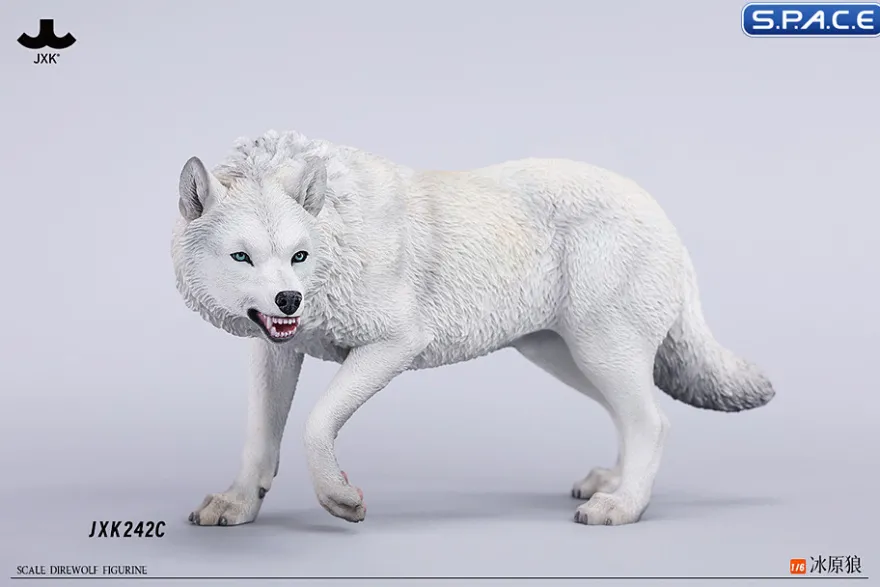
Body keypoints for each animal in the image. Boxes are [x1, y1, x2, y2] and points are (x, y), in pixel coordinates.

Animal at [171, 130, 774, 528]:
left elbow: (315, 425)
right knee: (635, 414)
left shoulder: (393, 344)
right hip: (570, 358)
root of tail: (662, 214)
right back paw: (615, 482)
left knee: (654, 422)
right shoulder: (275, 349)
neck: (337, 232)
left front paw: (340, 500)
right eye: (242, 257)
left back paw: (624, 506)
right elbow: (260, 437)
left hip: (599, 351)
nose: (289, 300)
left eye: (299, 255)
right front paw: (239, 505)